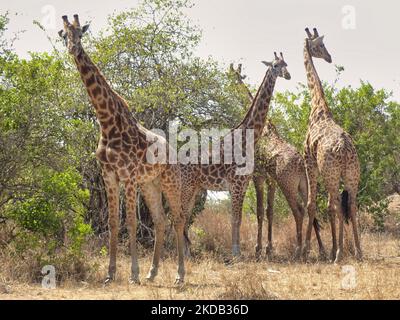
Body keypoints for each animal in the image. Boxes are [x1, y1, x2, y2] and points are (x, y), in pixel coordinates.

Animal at [58, 15, 187, 284]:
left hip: (170, 181)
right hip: (150, 184)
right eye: (64, 35)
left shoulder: (128, 176)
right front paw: (110, 274)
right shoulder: (109, 176)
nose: (73, 49)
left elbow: (131, 224)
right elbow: (113, 222)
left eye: (81, 34)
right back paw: (152, 273)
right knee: (160, 220)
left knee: (178, 219)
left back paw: (180, 275)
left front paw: (133, 274)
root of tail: (173, 151)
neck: (107, 122)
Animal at [180, 52, 290, 258]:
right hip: (187, 187)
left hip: (196, 189)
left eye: (286, 64)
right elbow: (235, 219)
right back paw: (183, 253)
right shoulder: (236, 184)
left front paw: (238, 252)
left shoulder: (244, 184)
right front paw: (236, 253)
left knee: (184, 215)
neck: (248, 137)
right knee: (179, 214)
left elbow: (239, 218)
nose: (288, 75)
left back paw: (187, 252)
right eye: (275, 65)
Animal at [227, 65, 326, 260]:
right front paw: (268, 248)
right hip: (304, 184)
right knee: (312, 209)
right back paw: (321, 250)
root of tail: (301, 164)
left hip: (287, 184)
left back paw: (299, 251)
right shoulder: (270, 178)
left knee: (299, 211)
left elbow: (259, 211)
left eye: (233, 76)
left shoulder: (258, 174)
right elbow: (270, 211)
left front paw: (259, 249)